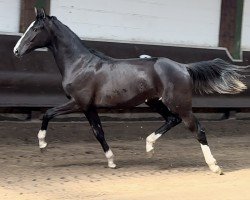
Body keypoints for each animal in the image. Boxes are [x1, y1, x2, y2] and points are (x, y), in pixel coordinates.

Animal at [13, 7, 246, 173]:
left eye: (35, 29)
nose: (16, 50)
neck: (80, 64)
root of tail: (183, 67)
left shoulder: (78, 102)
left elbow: (48, 113)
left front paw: (42, 144)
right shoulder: (89, 107)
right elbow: (98, 132)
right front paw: (111, 161)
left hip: (180, 104)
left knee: (198, 130)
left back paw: (214, 166)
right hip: (155, 101)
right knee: (172, 120)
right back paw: (149, 147)